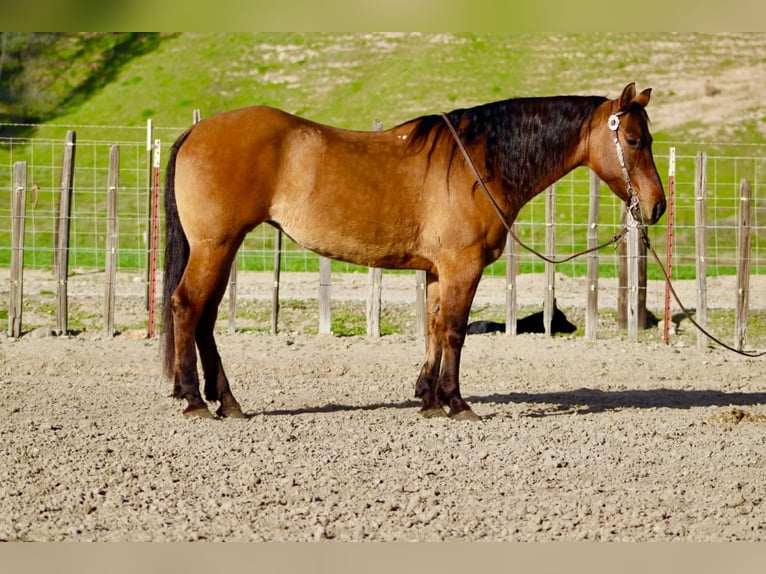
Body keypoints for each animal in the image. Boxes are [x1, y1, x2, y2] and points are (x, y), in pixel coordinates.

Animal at [161, 82, 666, 421]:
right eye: (634, 140)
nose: (657, 206)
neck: (478, 164)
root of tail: (197, 131)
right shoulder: (463, 267)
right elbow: (455, 332)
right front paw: (457, 402)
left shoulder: (440, 270)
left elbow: (433, 328)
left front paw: (429, 398)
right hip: (215, 246)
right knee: (186, 306)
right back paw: (194, 399)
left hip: (222, 249)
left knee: (204, 317)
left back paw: (225, 401)